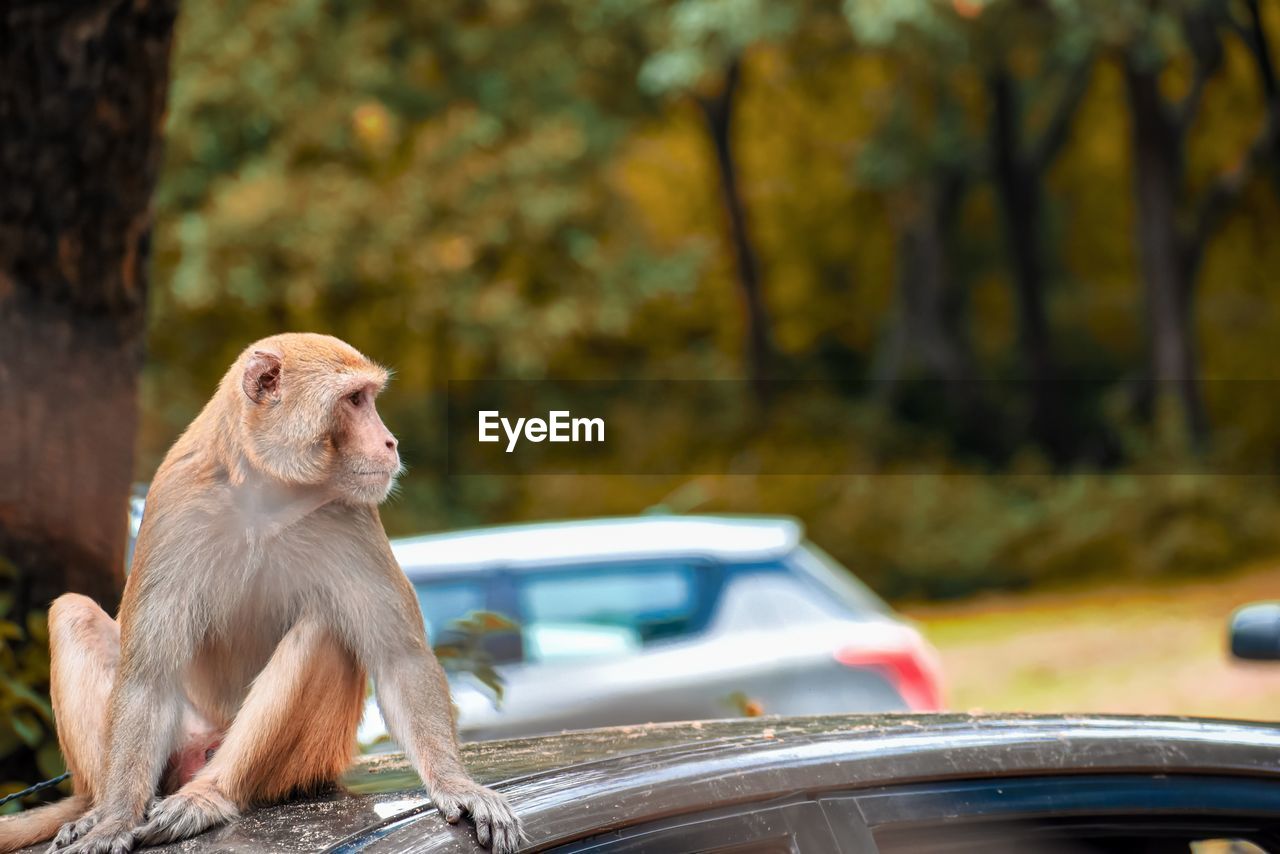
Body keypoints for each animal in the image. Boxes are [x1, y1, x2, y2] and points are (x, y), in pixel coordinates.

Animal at [0, 332, 522, 854]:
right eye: (355, 400)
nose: (390, 441)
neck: (264, 492)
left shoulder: (352, 514)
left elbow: (400, 658)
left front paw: (456, 784)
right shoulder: (173, 502)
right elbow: (148, 677)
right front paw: (115, 819)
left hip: (308, 761)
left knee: (326, 630)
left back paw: (210, 794)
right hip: (181, 740)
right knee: (75, 612)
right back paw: (95, 808)